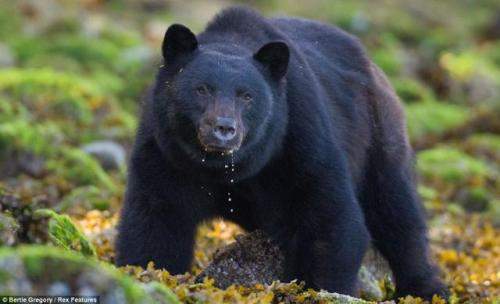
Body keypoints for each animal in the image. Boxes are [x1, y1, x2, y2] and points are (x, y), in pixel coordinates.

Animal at [116, 5, 446, 298]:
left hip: (378, 135)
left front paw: (318, 288)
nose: (224, 128)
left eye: (246, 96)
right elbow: (156, 219)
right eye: (202, 89)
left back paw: (425, 287)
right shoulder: (166, 153)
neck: (228, 169)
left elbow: (330, 217)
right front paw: (147, 272)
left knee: (396, 210)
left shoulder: (300, 140)